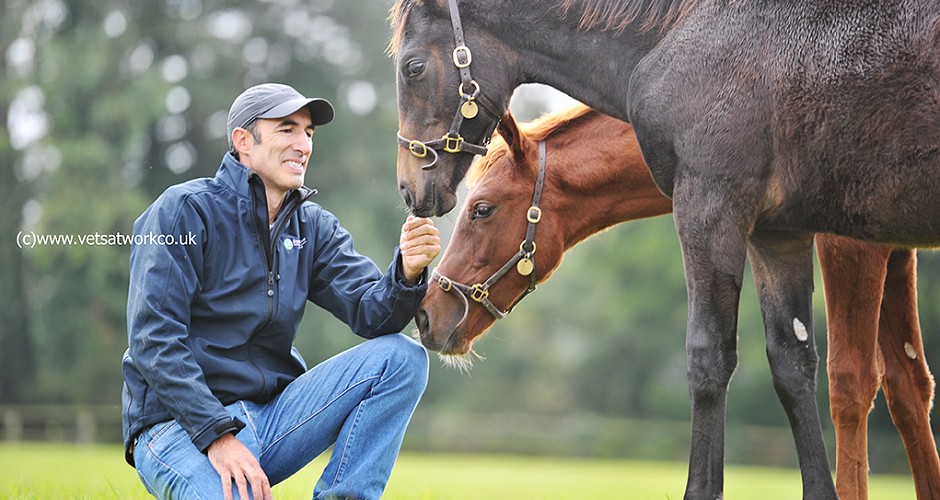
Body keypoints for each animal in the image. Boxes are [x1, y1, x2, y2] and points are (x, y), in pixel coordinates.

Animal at [390, 1, 940, 498]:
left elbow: (753, 363)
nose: (427, 313)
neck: (679, 36)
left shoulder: (731, 212)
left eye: (482, 209)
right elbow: (817, 367)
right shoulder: (786, 235)